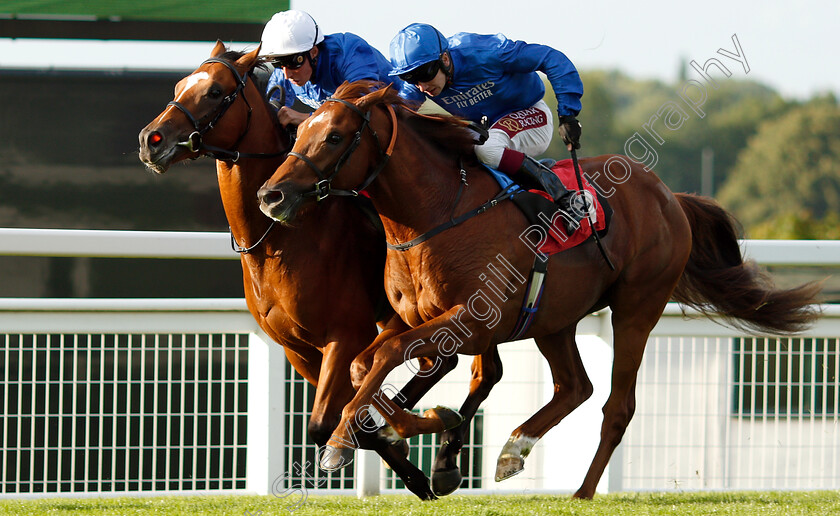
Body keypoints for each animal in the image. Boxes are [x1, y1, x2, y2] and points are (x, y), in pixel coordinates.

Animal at [138, 45, 456, 500]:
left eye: (215, 91)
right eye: (180, 85)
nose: (151, 140)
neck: (279, 241)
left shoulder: (345, 336)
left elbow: (327, 420)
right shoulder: (297, 348)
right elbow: (344, 415)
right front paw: (410, 466)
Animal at [258, 81, 820, 500]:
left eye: (334, 137)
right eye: (298, 132)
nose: (271, 194)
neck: (436, 213)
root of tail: (668, 195)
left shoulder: (472, 320)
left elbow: (388, 357)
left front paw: (355, 437)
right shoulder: (411, 319)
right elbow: (365, 363)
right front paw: (396, 425)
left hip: (637, 307)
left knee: (617, 404)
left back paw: (583, 492)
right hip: (554, 317)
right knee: (575, 387)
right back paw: (513, 450)